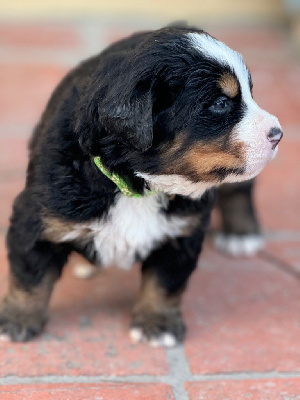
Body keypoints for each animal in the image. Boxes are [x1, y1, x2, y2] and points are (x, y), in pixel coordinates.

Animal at [0, 25, 282, 346]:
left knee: (239, 188)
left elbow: (165, 282)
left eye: (250, 94)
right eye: (221, 104)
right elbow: (29, 276)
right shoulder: (38, 216)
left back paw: (241, 235)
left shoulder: (183, 230)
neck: (139, 184)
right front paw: (17, 321)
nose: (278, 133)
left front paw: (158, 324)